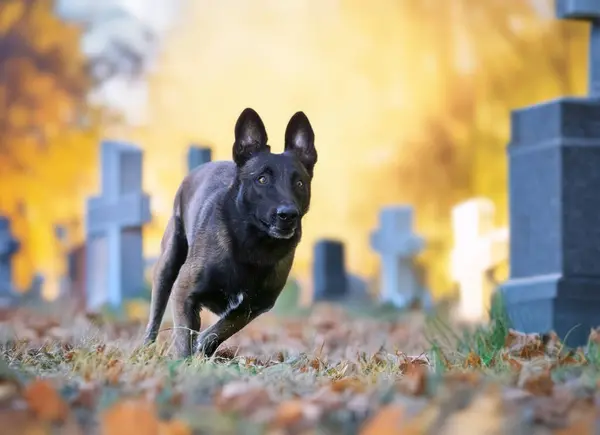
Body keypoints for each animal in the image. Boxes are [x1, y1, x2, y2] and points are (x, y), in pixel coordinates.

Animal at [142, 108, 316, 358]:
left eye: (300, 183)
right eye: (262, 179)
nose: (288, 214)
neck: (252, 244)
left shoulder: (252, 307)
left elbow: (220, 329)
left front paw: (203, 347)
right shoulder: (184, 291)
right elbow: (185, 338)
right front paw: (184, 360)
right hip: (168, 264)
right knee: (156, 315)